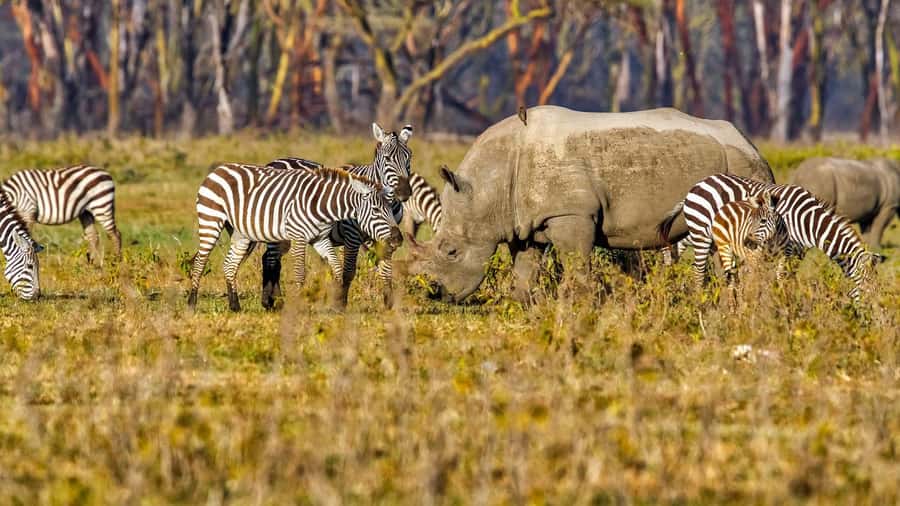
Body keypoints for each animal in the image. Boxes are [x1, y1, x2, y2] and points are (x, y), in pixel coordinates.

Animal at [408, 105, 774, 302]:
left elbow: (576, 265)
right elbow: (524, 270)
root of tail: (751, 144)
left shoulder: (571, 214)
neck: (489, 187)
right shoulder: (523, 223)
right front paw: (526, 307)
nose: (435, 294)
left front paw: (580, 305)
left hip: (742, 166)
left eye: (451, 252)